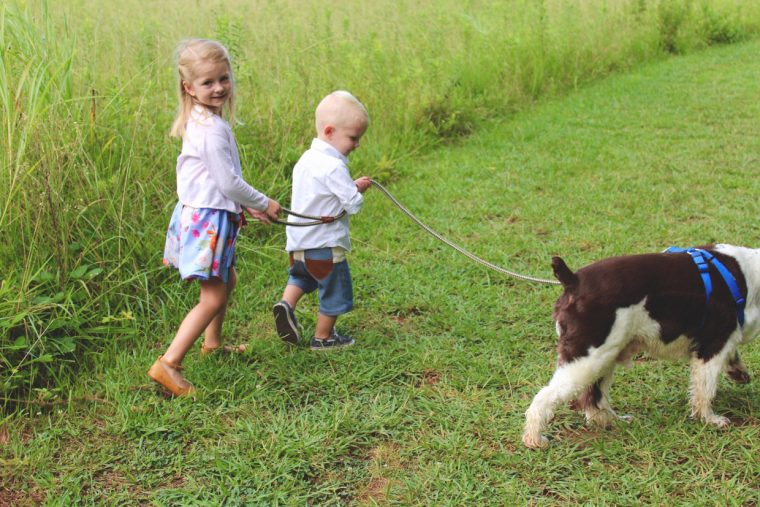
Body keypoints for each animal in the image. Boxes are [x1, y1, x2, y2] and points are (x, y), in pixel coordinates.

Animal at [524, 245, 760, 448]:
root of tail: (573, 280)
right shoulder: (713, 345)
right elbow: (705, 388)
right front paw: (710, 420)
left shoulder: (723, 340)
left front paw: (738, 372)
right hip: (588, 357)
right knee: (546, 396)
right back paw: (535, 440)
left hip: (604, 355)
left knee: (594, 397)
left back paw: (612, 421)